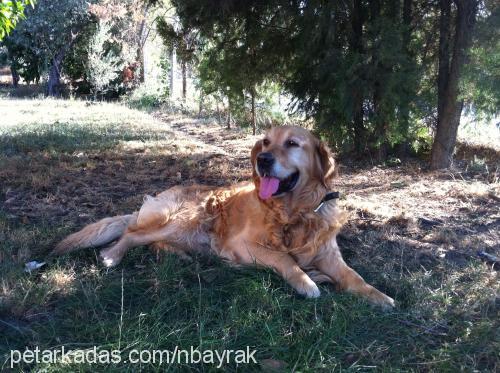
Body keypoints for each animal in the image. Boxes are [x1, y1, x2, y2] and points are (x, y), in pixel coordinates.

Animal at [53, 125, 394, 308]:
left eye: (292, 144)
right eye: (266, 142)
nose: (262, 159)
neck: (293, 212)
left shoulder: (328, 253)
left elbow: (354, 276)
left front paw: (378, 296)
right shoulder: (243, 245)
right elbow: (285, 259)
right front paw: (308, 282)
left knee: (150, 242)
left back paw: (180, 256)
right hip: (187, 218)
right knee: (132, 235)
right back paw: (112, 255)